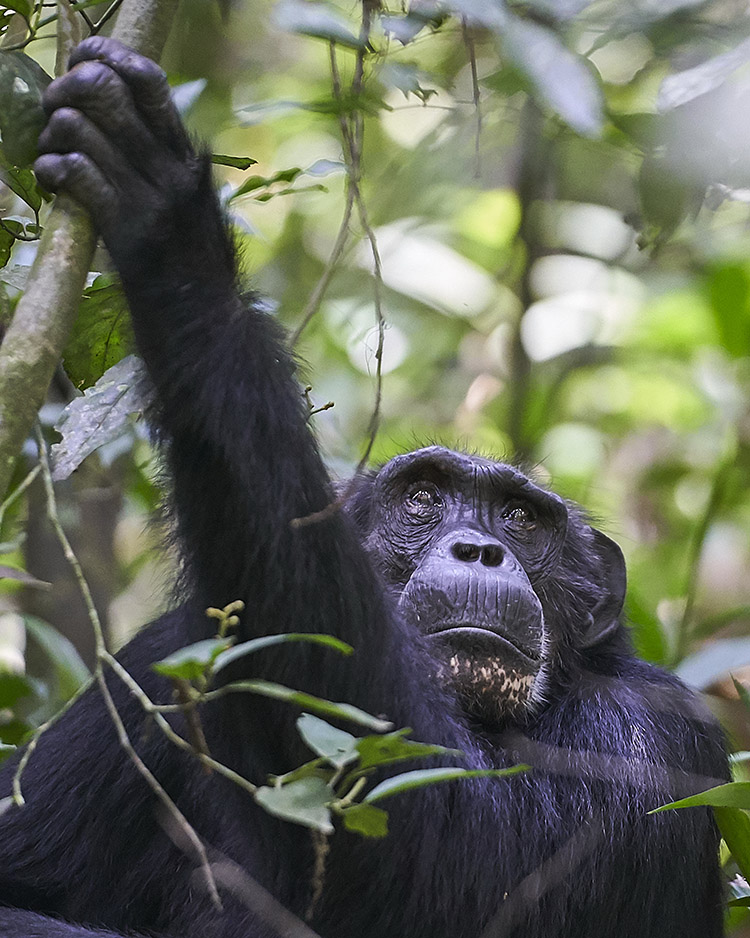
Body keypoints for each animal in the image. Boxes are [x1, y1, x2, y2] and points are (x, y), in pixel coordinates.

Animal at [0, 36, 728, 936]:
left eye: (523, 520)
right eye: (423, 498)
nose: (480, 548)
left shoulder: (645, 741)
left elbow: (435, 856)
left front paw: (173, 229)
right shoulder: (156, 663)